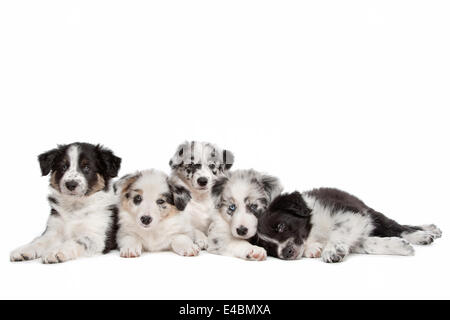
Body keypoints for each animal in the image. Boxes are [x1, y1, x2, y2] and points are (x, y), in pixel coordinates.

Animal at [255, 188, 442, 262]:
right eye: (269, 248)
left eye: (281, 226)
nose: (285, 253)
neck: (313, 231)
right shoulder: (357, 231)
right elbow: (368, 244)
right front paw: (399, 247)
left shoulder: (351, 214)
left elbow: (338, 231)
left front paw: (331, 250)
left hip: (371, 212)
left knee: (397, 227)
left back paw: (424, 234)